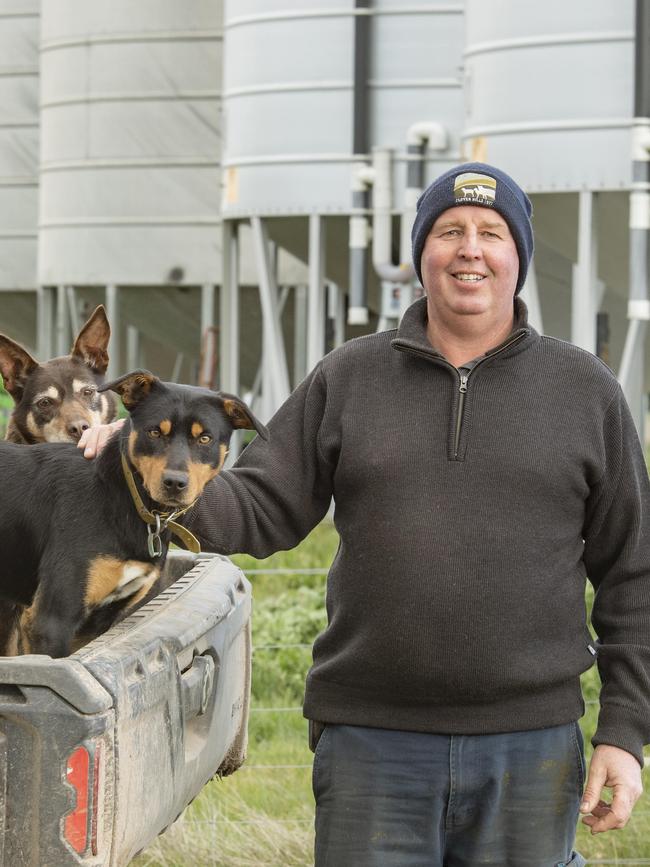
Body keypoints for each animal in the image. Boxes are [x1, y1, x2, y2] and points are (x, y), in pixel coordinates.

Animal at [0, 368, 266, 656]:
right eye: (154, 432)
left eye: (204, 439)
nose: (174, 483)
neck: (123, 496)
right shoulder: (52, 620)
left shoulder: (96, 622)